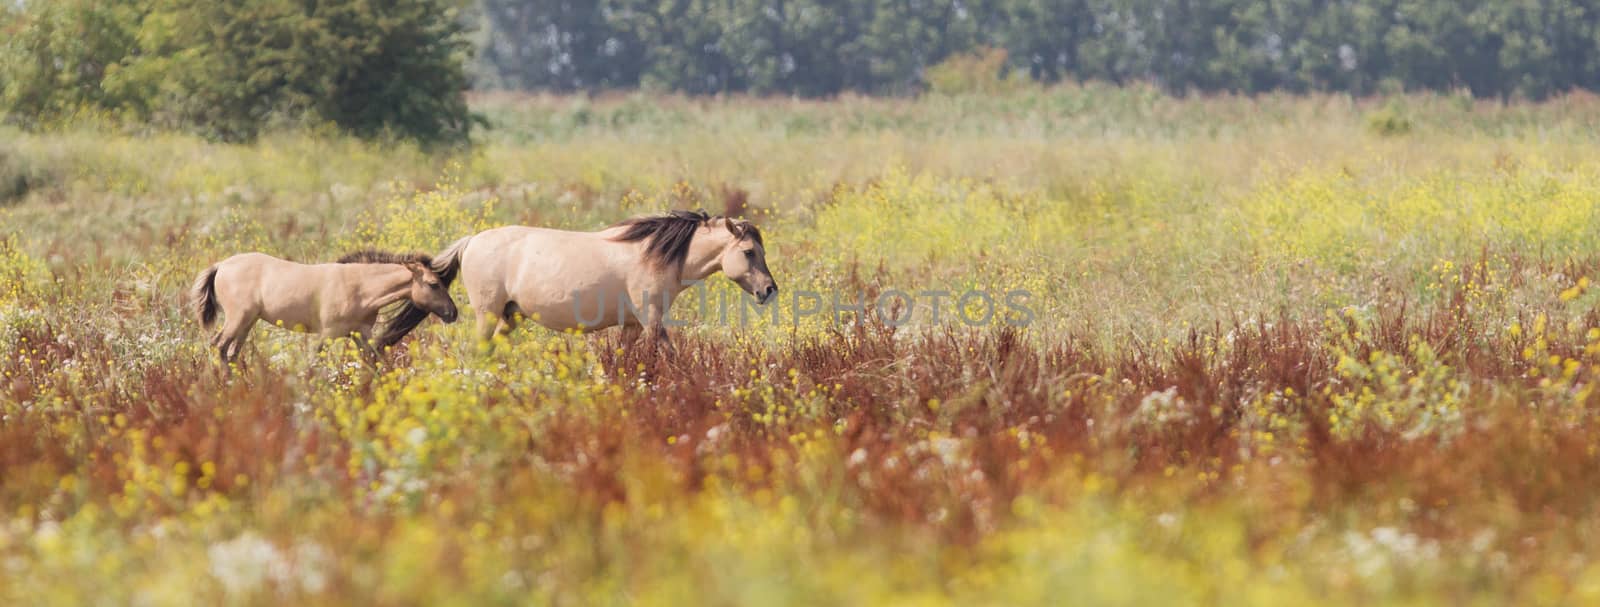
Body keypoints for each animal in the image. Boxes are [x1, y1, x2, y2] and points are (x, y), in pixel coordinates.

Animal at [192, 249, 464, 363]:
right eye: (433, 284)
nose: (453, 313)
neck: (359, 288)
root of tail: (220, 266)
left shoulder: (360, 334)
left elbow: (373, 361)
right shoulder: (328, 333)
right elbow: (315, 361)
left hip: (248, 322)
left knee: (231, 352)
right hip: (238, 318)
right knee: (219, 345)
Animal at [374, 209, 774, 349]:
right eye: (749, 252)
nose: (769, 290)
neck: (652, 253)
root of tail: (471, 241)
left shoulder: (632, 324)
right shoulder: (651, 320)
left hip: (509, 316)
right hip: (487, 315)